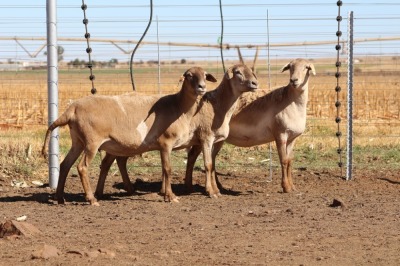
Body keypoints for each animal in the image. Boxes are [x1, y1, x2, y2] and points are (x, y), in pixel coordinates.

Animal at [42, 64, 258, 206]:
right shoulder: (187, 140)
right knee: (83, 167)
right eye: (238, 72)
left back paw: (61, 197)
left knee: (67, 164)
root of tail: (71, 109)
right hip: (92, 142)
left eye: (205, 75)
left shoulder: (209, 141)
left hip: (80, 141)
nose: (255, 83)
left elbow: (203, 165)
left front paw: (208, 190)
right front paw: (181, 195)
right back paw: (92, 198)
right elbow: (183, 167)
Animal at [184, 58, 316, 193]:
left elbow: (290, 161)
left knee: (210, 158)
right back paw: (190, 185)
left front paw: (292, 187)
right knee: (193, 156)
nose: (294, 80)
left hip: (217, 139)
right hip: (203, 136)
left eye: (306, 67)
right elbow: (283, 161)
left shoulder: (292, 138)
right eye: (290, 67)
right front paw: (286, 187)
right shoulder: (280, 134)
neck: (291, 102)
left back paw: (216, 186)